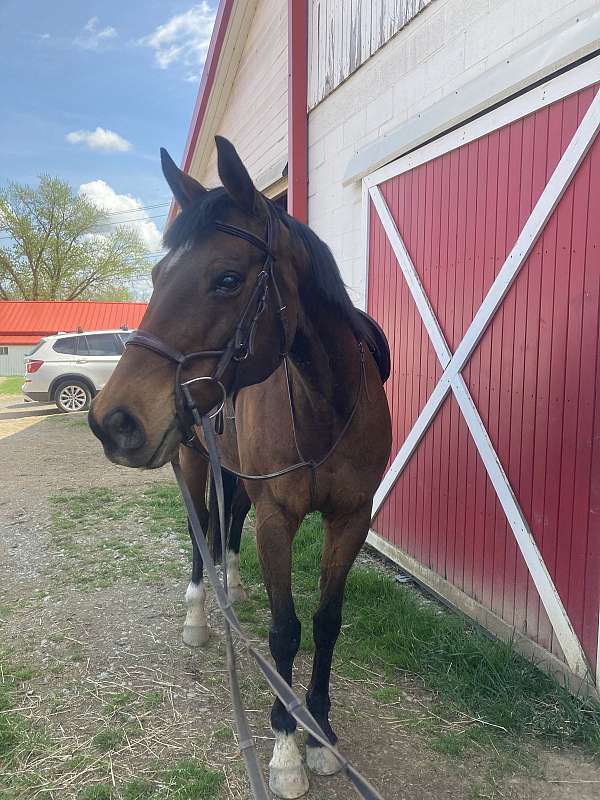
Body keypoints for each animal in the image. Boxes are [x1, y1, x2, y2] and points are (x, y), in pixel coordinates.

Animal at [88, 136, 392, 799]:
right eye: (156, 277)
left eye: (227, 279)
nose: (112, 420)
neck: (325, 404)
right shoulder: (278, 518)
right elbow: (285, 631)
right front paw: (285, 747)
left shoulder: (350, 518)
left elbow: (326, 622)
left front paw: (321, 734)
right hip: (194, 460)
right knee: (201, 536)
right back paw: (201, 617)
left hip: (236, 476)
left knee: (225, 531)